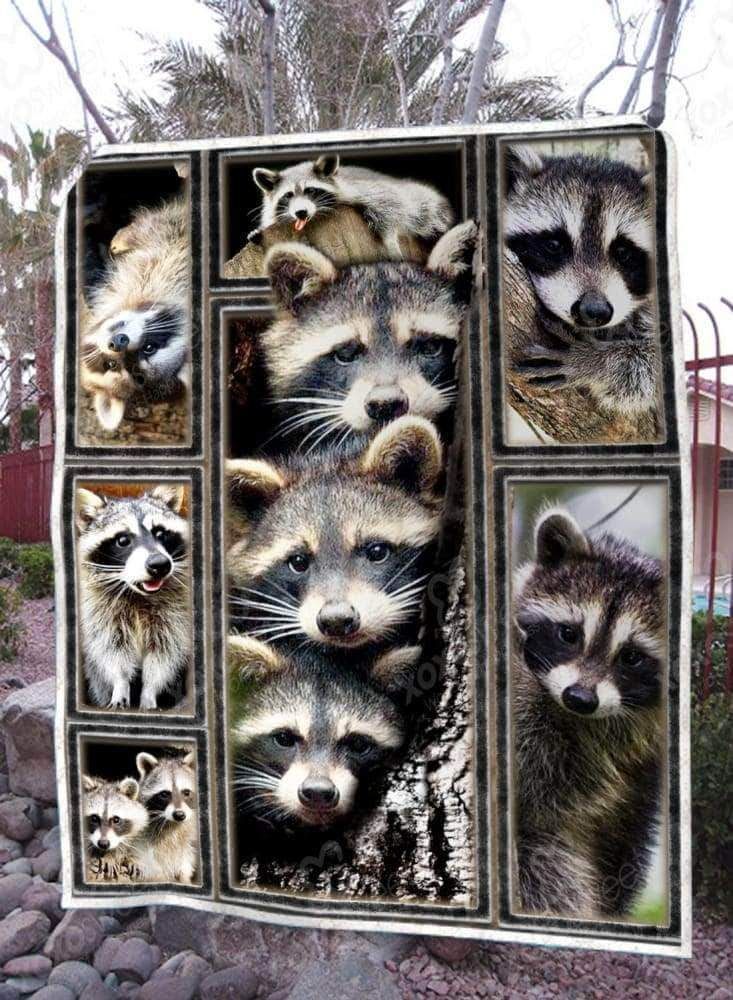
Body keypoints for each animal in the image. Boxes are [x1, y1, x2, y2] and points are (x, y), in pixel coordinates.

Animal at [76, 484, 190, 710]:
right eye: (122, 540)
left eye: (161, 533)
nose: (160, 564)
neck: (137, 595)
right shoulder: (101, 614)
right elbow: (111, 651)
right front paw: (120, 684)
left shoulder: (173, 616)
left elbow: (164, 655)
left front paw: (149, 691)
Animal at [135, 750, 198, 883]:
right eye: (164, 794)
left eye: (186, 792)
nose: (179, 815)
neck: (172, 824)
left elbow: (186, 857)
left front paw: (184, 877)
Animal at [250, 154, 454, 257]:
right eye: (288, 195)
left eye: (311, 191)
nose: (301, 212)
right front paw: (258, 231)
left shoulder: (363, 189)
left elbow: (390, 202)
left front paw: (389, 237)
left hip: (426, 203)